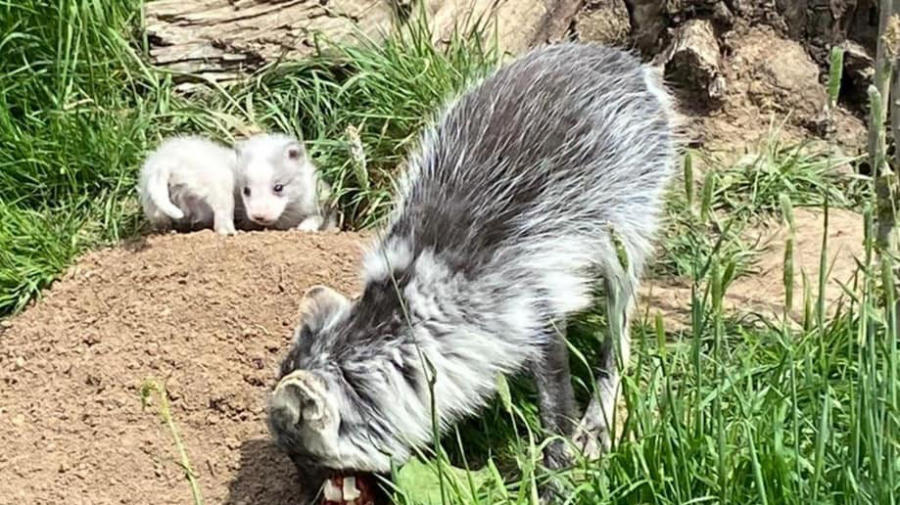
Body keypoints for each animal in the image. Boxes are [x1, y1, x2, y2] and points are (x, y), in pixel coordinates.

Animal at [268, 42, 676, 500]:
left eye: (303, 458)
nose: (302, 495)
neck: (418, 300)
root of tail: (628, 64)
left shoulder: (538, 317)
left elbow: (556, 418)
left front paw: (556, 482)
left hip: (624, 242)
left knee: (619, 338)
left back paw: (600, 419)